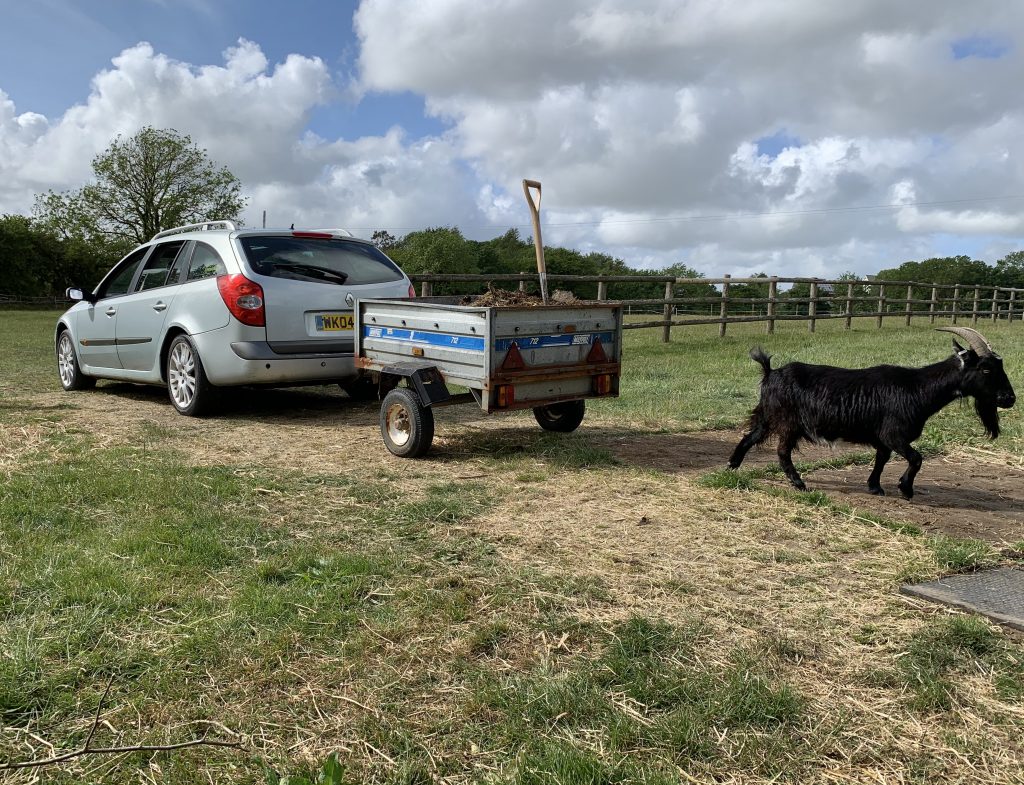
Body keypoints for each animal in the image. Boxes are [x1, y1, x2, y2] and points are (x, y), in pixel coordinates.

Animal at [729, 327, 1015, 499]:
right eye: (986, 369)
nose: (1010, 399)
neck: (918, 388)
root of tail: (770, 372)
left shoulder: (883, 439)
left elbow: (882, 459)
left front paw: (875, 486)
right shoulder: (893, 434)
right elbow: (916, 458)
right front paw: (905, 489)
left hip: (769, 415)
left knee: (751, 436)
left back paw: (732, 465)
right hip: (788, 421)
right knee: (782, 451)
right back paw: (799, 483)